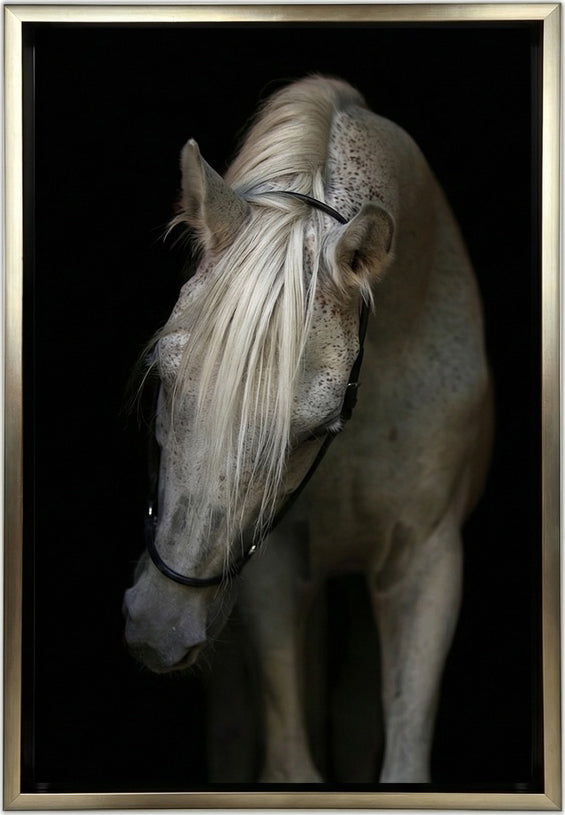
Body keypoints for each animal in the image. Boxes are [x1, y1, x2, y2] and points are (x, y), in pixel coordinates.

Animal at [123, 75, 492, 784]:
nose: (159, 625)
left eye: (319, 425)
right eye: (163, 374)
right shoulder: (273, 567)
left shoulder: (427, 562)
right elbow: (290, 764)